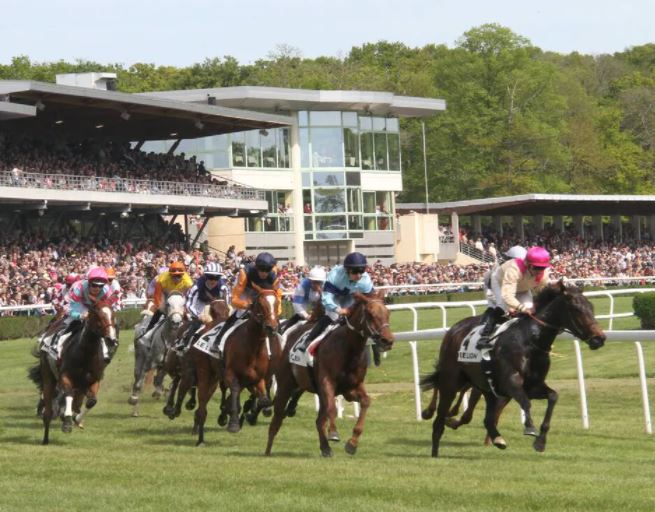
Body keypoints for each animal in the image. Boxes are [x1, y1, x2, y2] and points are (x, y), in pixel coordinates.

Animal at [28, 300, 118, 444]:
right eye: (98, 315)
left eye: (113, 315)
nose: (111, 339)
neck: (85, 353)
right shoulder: (65, 376)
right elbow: (68, 394)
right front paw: (67, 423)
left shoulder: (94, 379)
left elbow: (91, 401)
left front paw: (77, 419)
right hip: (48, 376)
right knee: (48, 410)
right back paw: (46, 437)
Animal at [190, 290, 282, 446]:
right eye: (260, 304)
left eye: (277, 304)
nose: (272, 327)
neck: (252, 346)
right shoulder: (230, 374)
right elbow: (234, 391)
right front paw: (233, 423)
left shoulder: (258, 378)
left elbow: (264, 400)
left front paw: (254, 412)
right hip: (205, 372)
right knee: (202, 405)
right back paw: (200, 439)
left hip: (215, 379)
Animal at [266, 290, 394, 458]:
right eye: (371, 314)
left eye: (387, 313)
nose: (388, 340)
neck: (348, 349)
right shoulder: (327, 382)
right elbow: (332, 408)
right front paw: (333, 433)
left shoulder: (351, 388)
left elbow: (366, 402)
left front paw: (352, 444)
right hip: (285, 385)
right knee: (277, 418)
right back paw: (267, 450)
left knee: (319, 420)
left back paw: (325, 448)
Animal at [422, 282, 608, 458]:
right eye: (576, 309)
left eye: (591, 307)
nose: (599, 338)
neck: (530, 341)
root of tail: (453, 330)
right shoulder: (511, 382)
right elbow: (526, 402)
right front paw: (530, 428)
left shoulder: (532, 386)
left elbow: (553, 396)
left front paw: (541, 441)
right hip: (451, 382)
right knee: (439, 418)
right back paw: (435, 449)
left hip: (488, 388)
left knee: (487, 419)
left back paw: (496, 438)